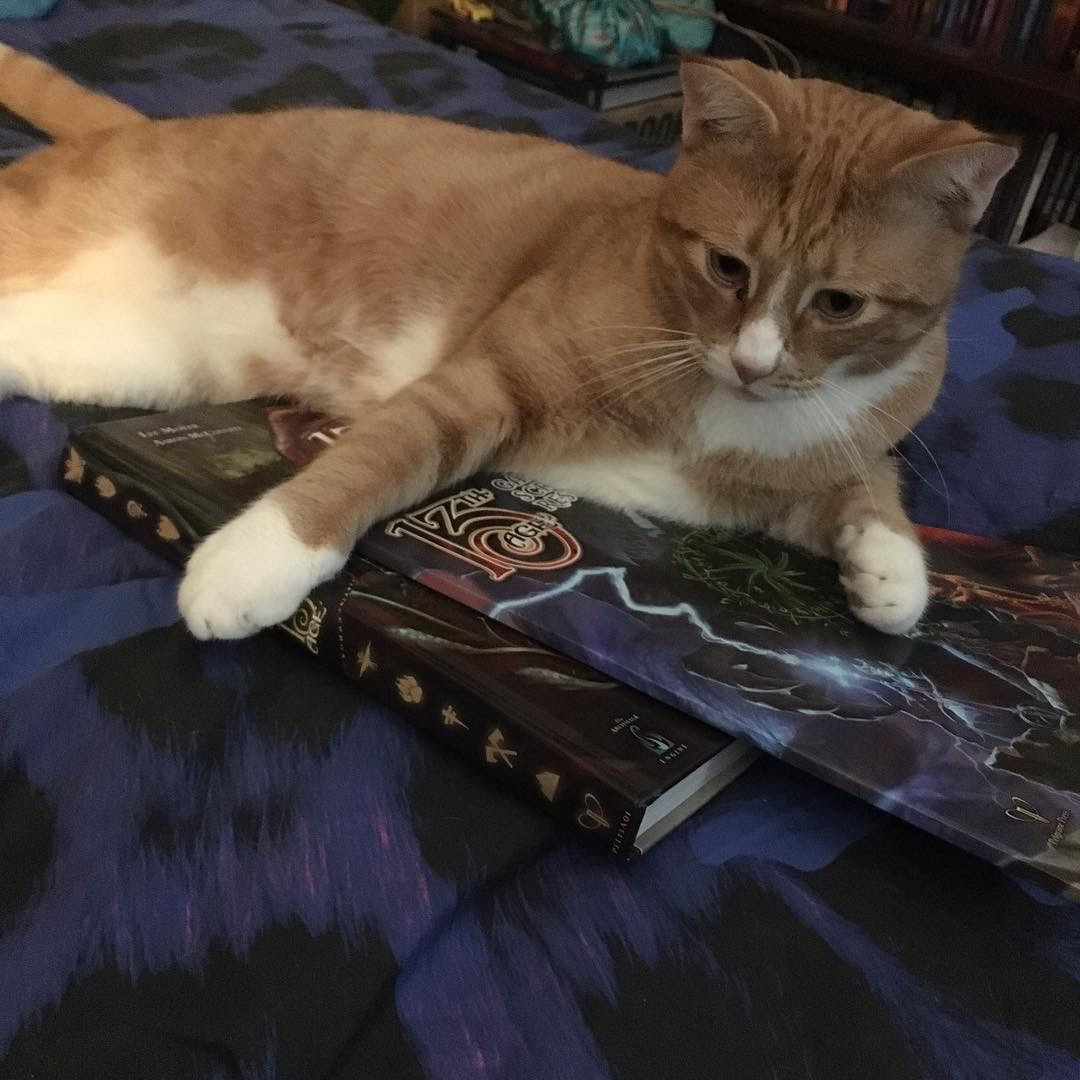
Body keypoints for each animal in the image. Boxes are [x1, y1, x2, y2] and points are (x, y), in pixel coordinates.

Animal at [0, 46, 1010, 639]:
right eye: (727, 266)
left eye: (840, 303)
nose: (755, 362)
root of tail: (155, 127)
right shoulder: (481, 385)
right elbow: (370, 462)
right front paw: (254, 561)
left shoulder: (790, 472)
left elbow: (867, 487)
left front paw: (889, 575)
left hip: (144, 355)